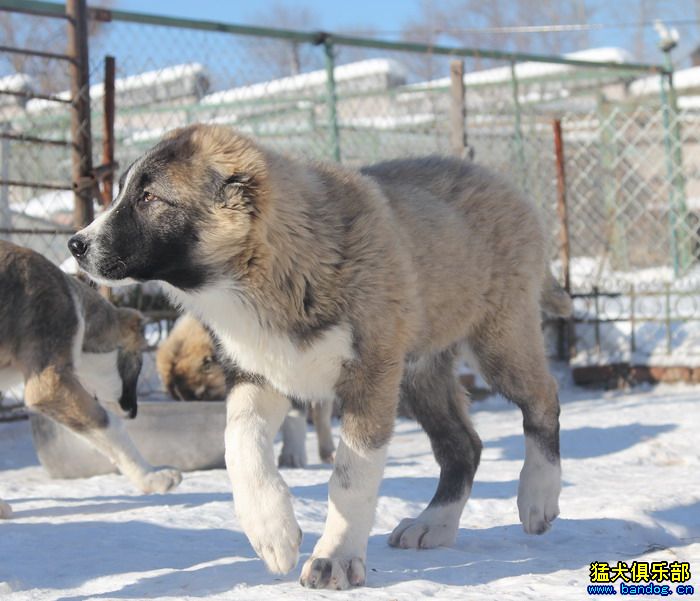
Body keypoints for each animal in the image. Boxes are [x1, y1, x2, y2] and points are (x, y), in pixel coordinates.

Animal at [0, 239, 180, 516]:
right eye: (138, 365)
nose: (133, 412)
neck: (78, 309)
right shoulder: (50, 387)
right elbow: (112, 426)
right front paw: (151, 477)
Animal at [157, 312, 336, 466]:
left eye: (203, 395)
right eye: (180, 399)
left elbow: (295, 415)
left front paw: (291, 456)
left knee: (322, 413)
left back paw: (328, 452)